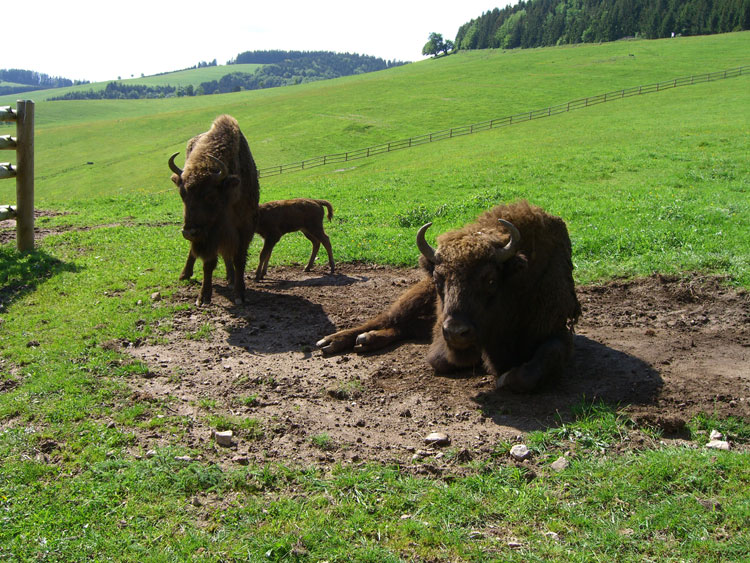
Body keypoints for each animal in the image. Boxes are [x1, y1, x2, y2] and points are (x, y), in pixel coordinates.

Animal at [168, 114, 260, 306]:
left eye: (210, 195)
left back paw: (231, 277)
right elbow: (208, 263)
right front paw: (203, 297)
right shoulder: (209, 236)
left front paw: (240, 294)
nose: (189, 232)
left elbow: (239, 259)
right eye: (182, 194)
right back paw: (185, 274)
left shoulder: (245, 228)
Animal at [318, 202, 580, 392]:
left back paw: (366, 340)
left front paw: (506, 379)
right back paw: (334, 341)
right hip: (411, 301)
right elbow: (445, 359)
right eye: (438, 279)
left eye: (491, 280)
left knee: (404, 328)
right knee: (385, 319)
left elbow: (547, 356)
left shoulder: (556, 330)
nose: (456, 332)